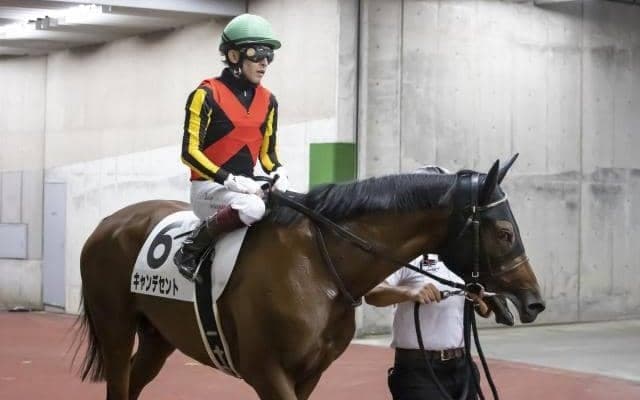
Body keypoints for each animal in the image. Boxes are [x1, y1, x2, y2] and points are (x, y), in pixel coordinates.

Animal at [76, 156, 545, 400]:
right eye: (505, 232)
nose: (534, 300)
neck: (319, 265)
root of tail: (106, 224)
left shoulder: (310, 372)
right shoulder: (266, 371)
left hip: (159, 337)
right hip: (116, 328)